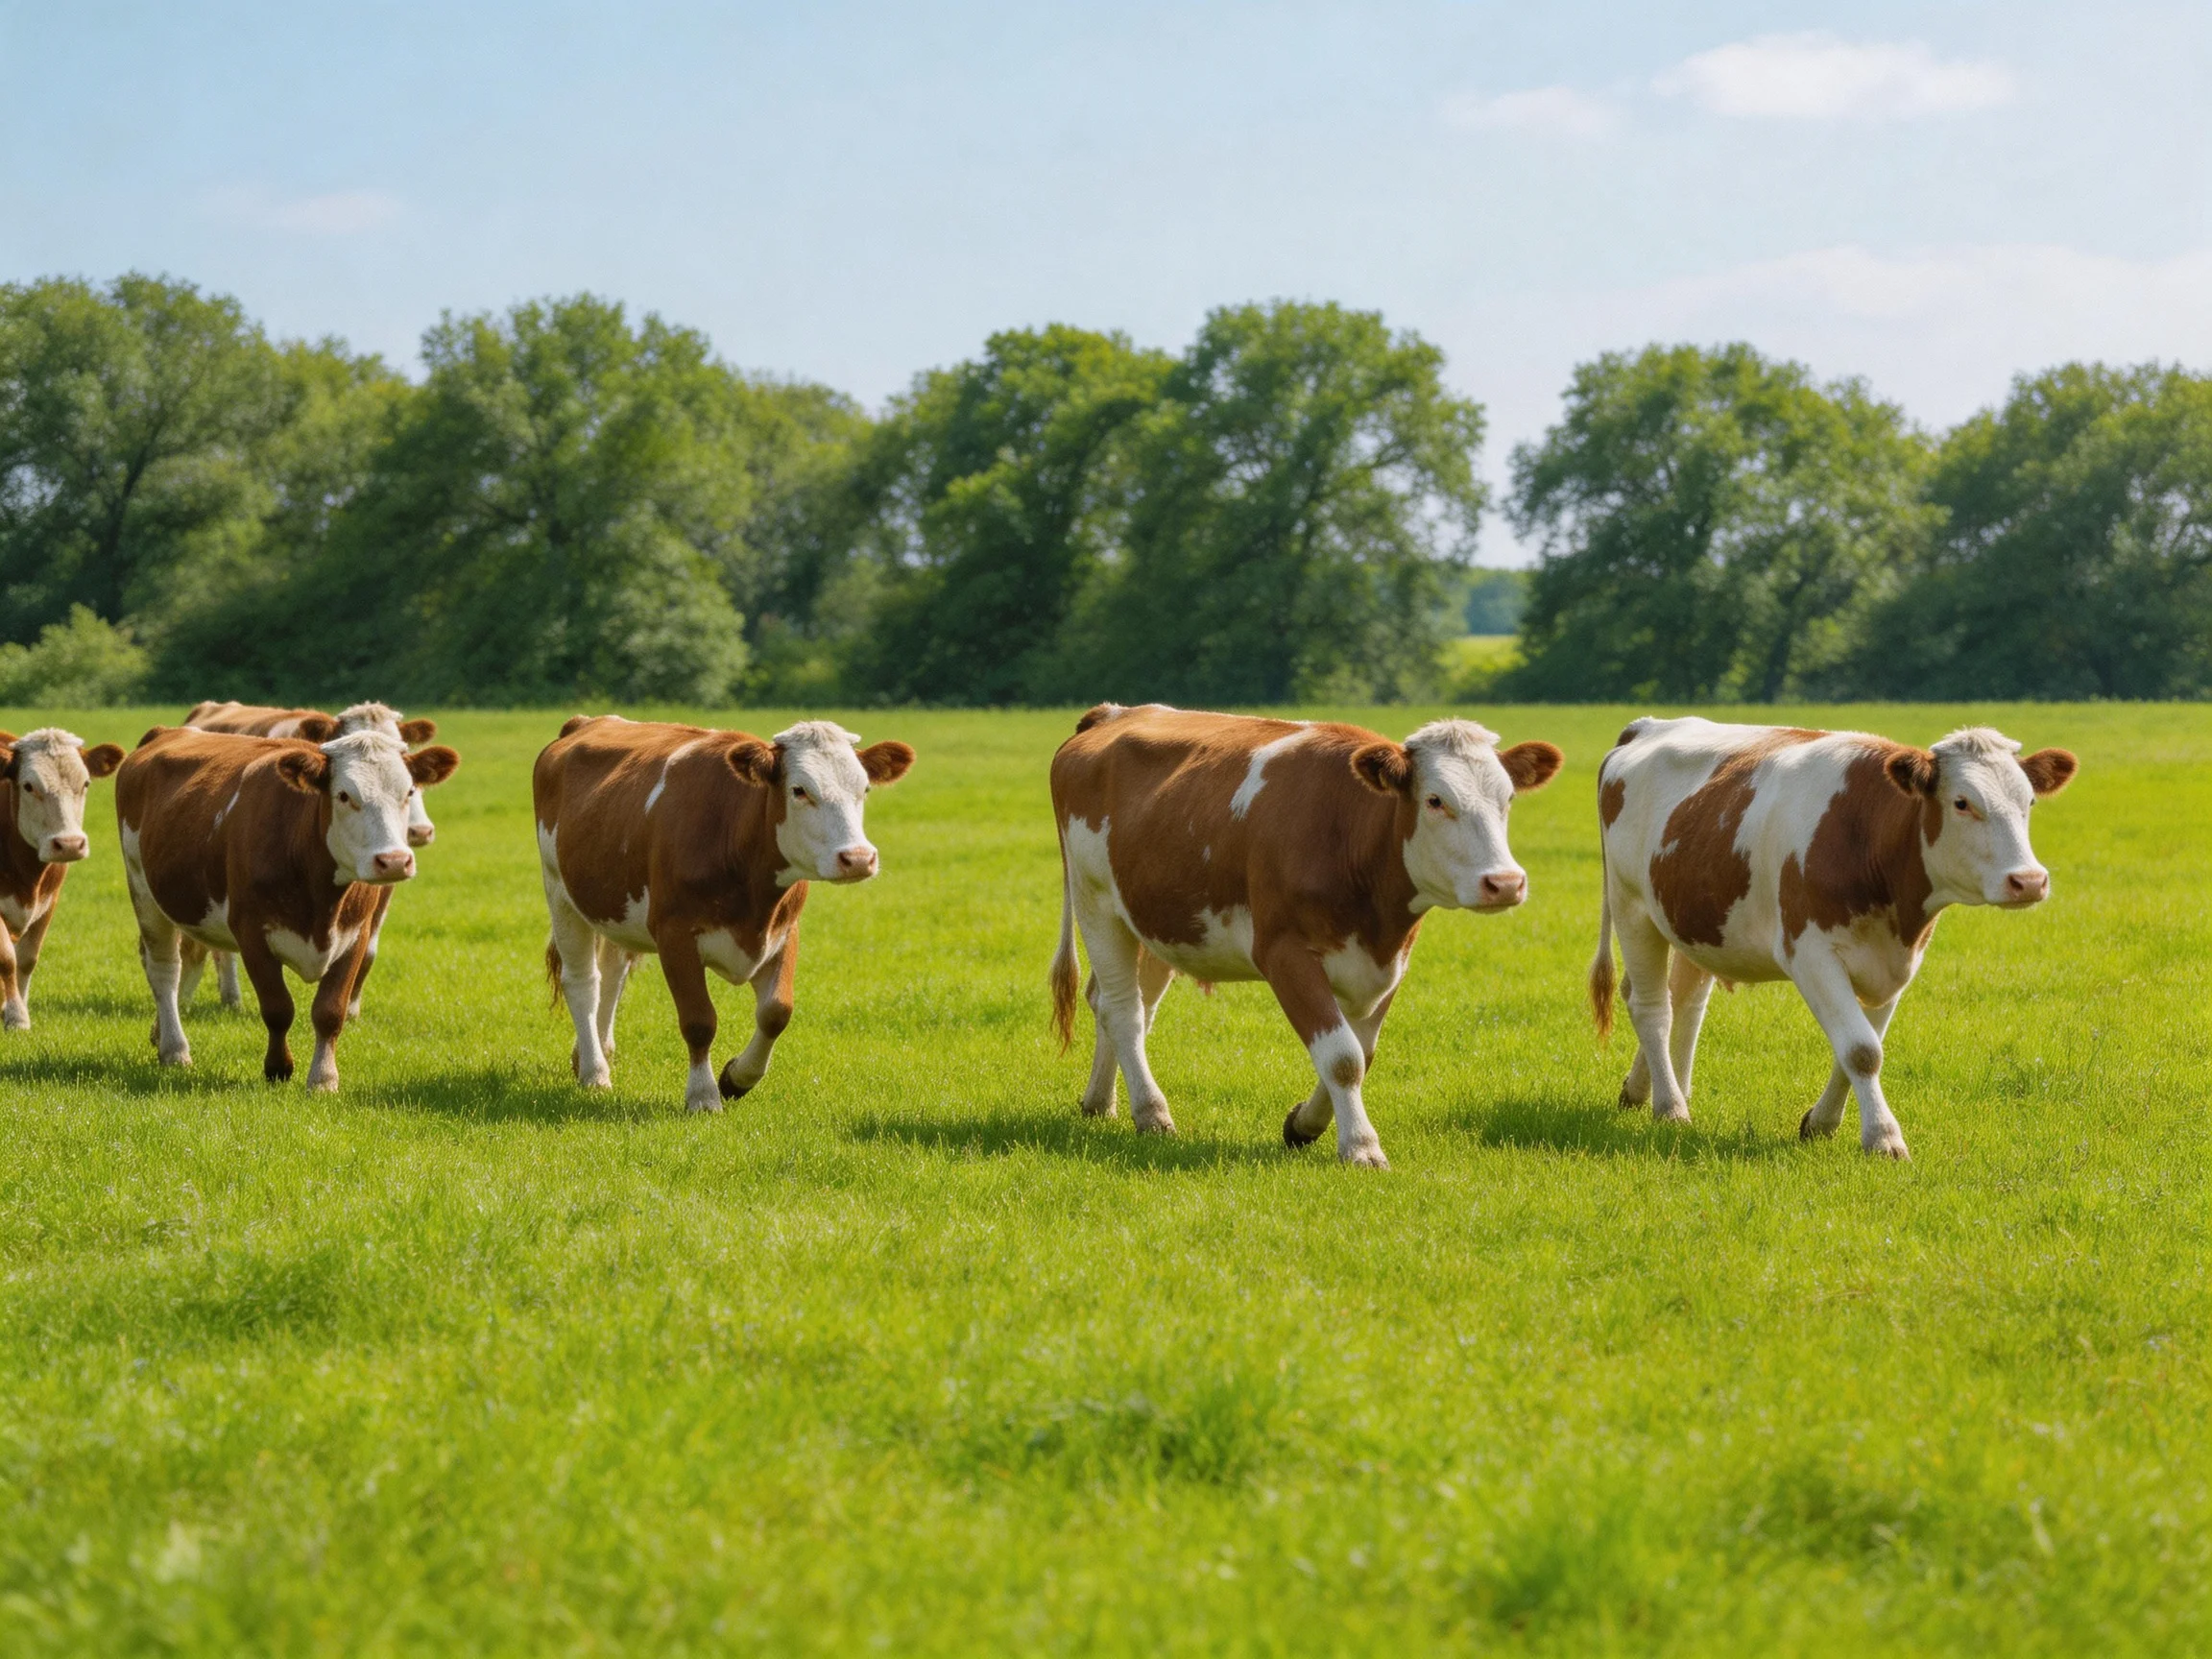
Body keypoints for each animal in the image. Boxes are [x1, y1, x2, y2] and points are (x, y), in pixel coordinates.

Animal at [0, 729, 126, 1030]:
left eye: (86, 783)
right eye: (29, 786)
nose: (69, 844)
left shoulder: (49, 902)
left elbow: (27, 959)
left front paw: (18, 1007)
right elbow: (7, 959)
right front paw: (16, 1016)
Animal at [535, 716, 916, 1113]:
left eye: (865, 788)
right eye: (799, 790)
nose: (858, 858)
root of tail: (587, 722)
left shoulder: (784, 930)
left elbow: (776, 1012)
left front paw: (737, 1078)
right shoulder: (675, 935)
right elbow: (699, 1021)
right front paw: (703, 1096)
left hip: (616, 904)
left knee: (614, 972)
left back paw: (594, 1053)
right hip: (559, 890)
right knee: (583, 982)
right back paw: (594, 1072)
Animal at [1048, 704, 1564, 1167]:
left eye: (1508, 799)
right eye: (1436, 800)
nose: (1505, 882)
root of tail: (1114, 712)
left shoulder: (1389, 962)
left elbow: (1362, 1053)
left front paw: (1303, 1124)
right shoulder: (1285, 952)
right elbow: (1341, 1056)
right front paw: (1360, 1147)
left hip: (1158, 922)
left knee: (1119, 1003)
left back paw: (1101, 1102)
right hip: (1096, 902)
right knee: (1122, 1010)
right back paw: (1151, 1113)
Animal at [1590, 718, 2078, 1159]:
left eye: (2029, 800)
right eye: (1962, 802)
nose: (2029, 881)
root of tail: (1648, 725)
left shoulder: (1897, 960)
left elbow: (1864, 1046)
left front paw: (1820, 1123)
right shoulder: (1810, 955)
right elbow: (1861, 1050)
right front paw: (1883, 1138)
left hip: (1696, 921)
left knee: (1686, 1003)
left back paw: (1650, 1090)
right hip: (1631, 906)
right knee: (1652, 1006)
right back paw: (1670, 1107)